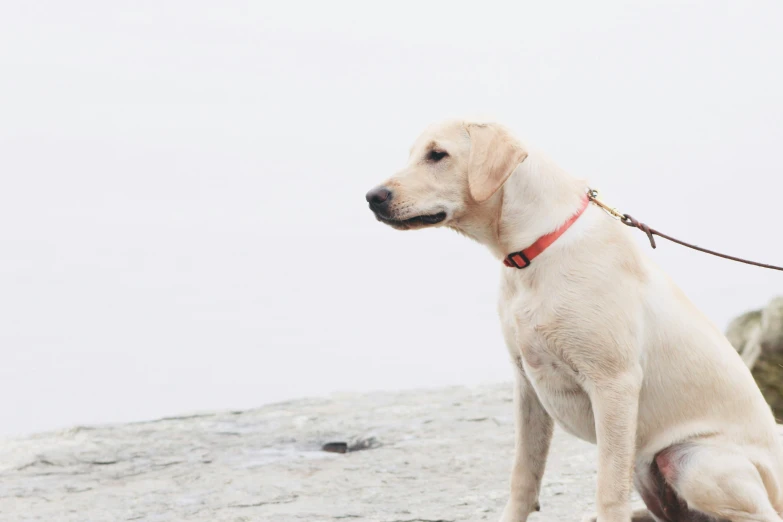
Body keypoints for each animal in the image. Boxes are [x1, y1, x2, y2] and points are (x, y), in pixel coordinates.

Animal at [364, 119, 783, 520]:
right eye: (414, 153)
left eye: (438, 154)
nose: (372, 197)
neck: (534, 249)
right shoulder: (527, 384)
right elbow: (523, 476)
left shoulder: (613, 384)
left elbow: (608, 491)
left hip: (694, 461)